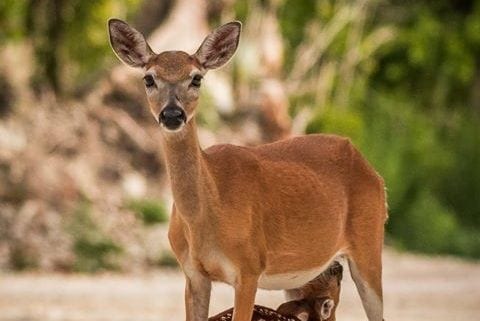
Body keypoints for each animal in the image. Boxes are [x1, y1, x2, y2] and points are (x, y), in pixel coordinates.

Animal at [108, 18, 386, 320]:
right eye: (149, 78)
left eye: (196, 78)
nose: (172, 114)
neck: (209, 213)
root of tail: (372, 170)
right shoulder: (192, 273)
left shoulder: (249, 267)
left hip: (369, 242)